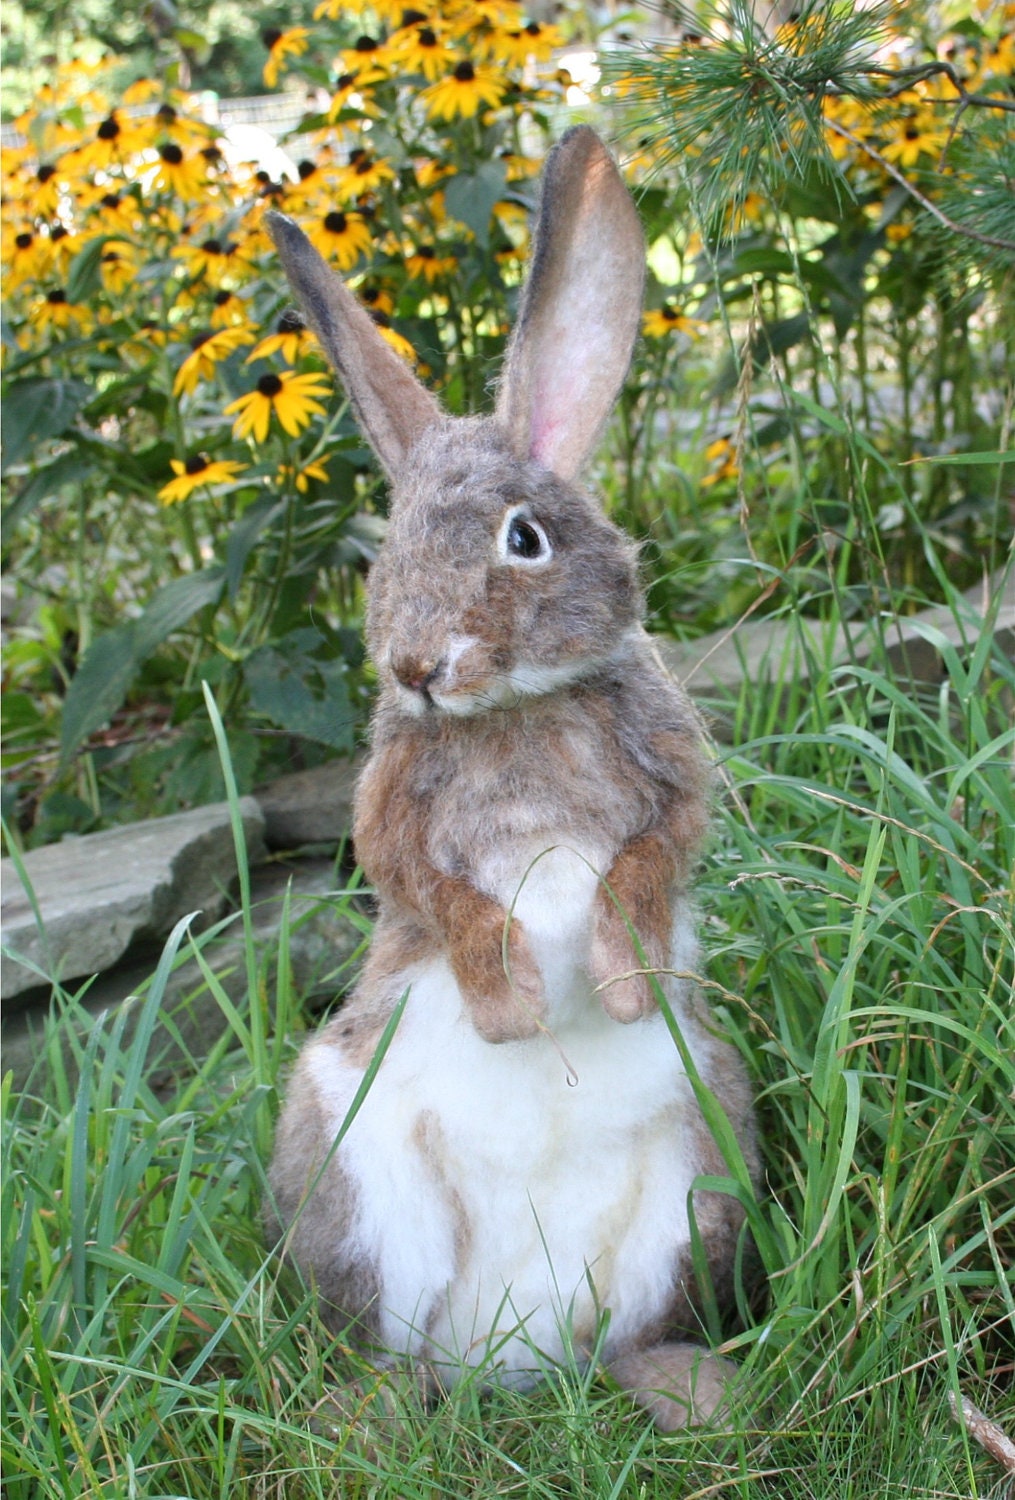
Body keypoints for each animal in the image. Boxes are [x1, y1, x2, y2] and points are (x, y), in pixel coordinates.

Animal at [265, 126, 755, 1428]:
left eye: (521, 538)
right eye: (387, 551)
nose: (415, 664)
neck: (514, 710)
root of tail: (516, 1353)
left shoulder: (668, 781)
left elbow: (646, 858)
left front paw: (619, 984)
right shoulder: (396, 822)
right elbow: (443, 899)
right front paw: (516, 1009)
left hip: (705, 1164)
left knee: (632, 1333)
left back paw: (698, 1394)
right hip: (352, 1174)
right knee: (397, 1353)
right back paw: (376, 1415)